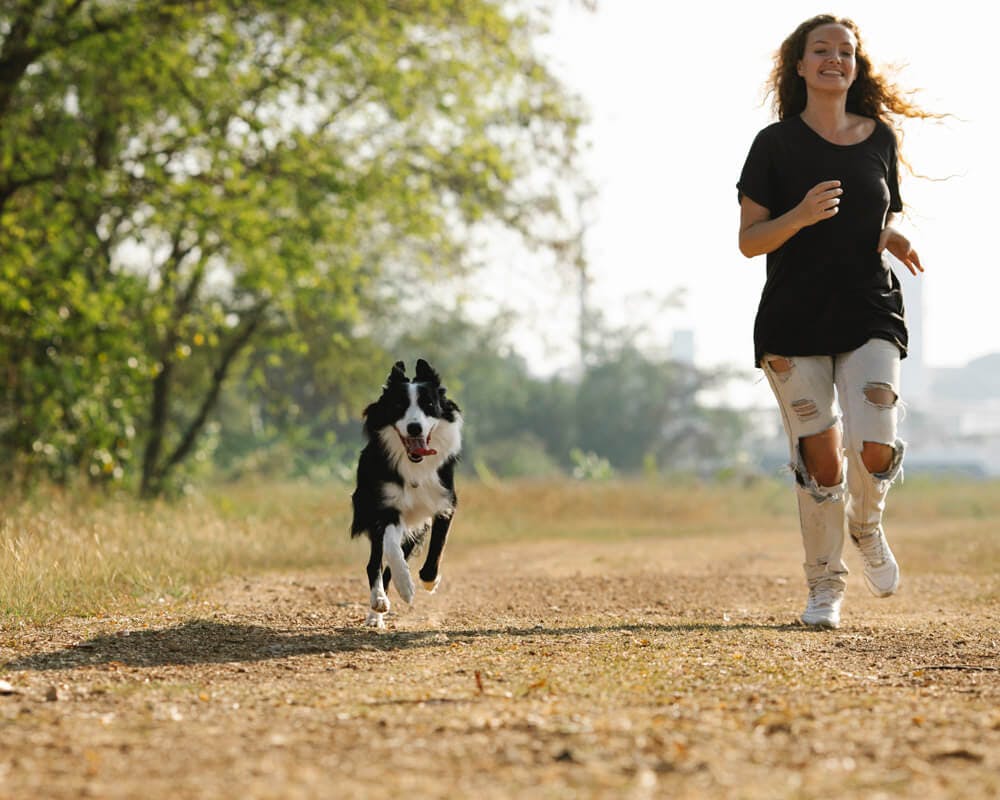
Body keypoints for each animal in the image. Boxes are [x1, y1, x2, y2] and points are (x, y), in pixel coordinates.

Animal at [350, 360, 462, 628]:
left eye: (429, 405)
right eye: (398, 406)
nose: (414, 428)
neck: (415, 466)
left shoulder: (444, 503)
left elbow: (437, 547)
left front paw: (429, 581)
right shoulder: (385, 507)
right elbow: (391, 548)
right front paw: (406, 587)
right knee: (374, 563)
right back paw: (378, 605)